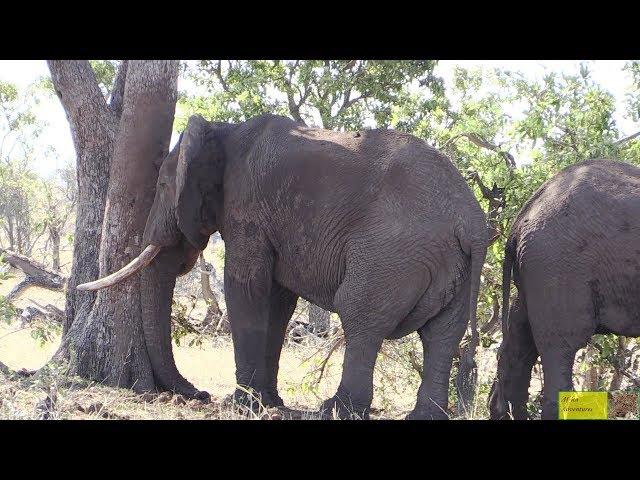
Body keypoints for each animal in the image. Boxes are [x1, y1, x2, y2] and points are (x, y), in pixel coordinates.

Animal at [81, 113, 490, 420]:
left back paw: (335, 410)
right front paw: (268, 403)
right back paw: (423, 417)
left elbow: (246, 288)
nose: (198, 395)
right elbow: (277, 302)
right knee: (442, 334)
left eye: (164, 186)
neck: (225, 130)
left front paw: (241, 405)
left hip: (391, 254)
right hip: (454, 264)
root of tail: (471, 222)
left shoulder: (247, 207)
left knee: (360, 315)